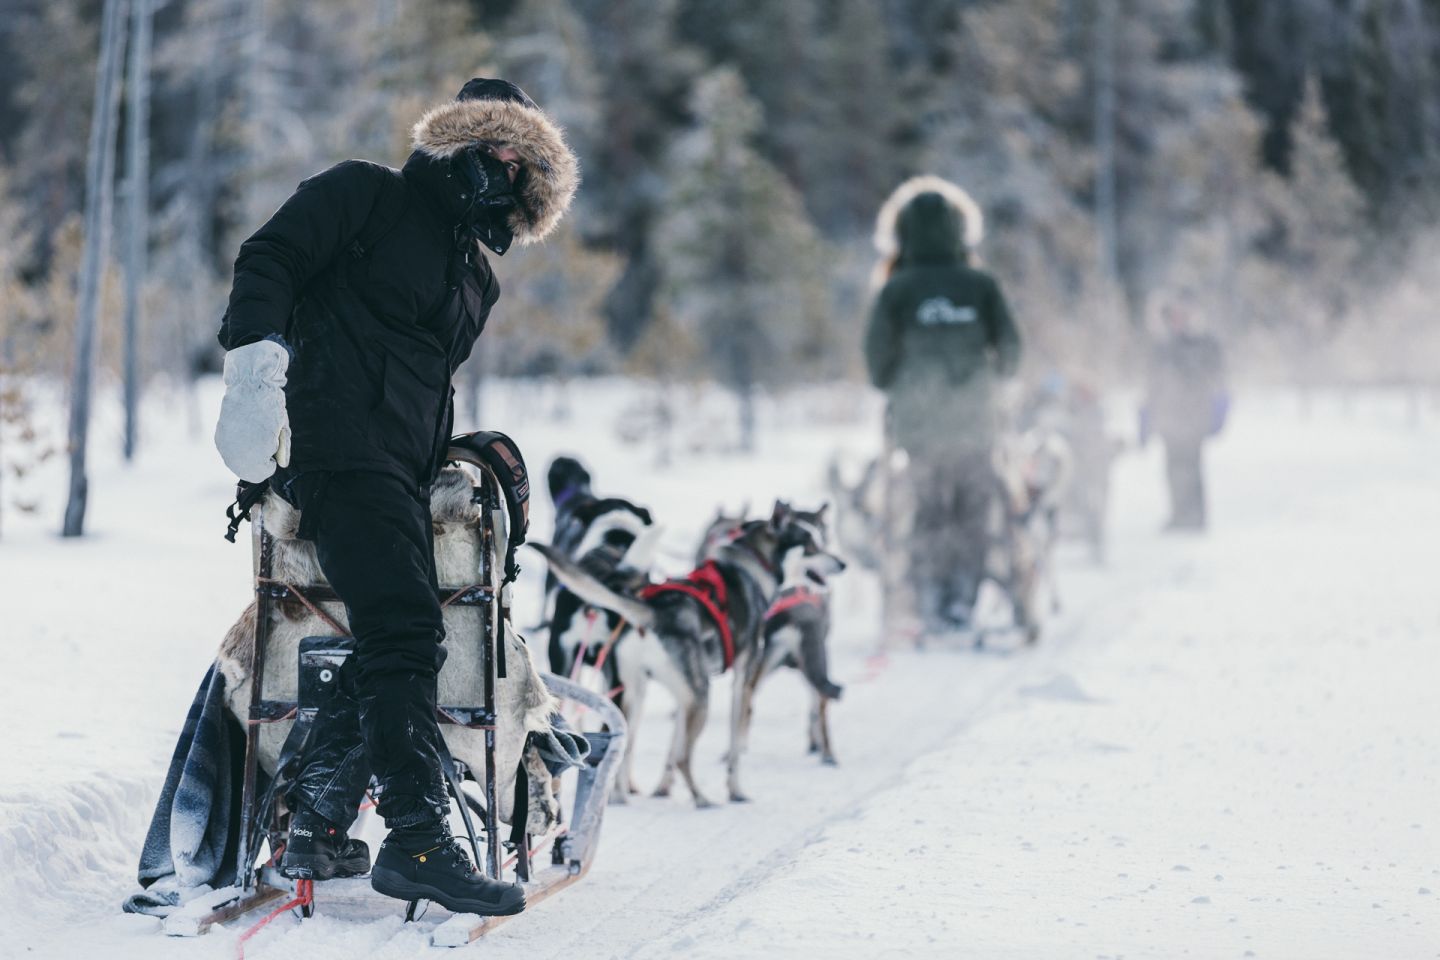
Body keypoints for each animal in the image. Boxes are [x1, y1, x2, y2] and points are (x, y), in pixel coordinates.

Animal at [538, 506, 835, 805]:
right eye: (812, 545)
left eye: (822, 540)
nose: (841, 563)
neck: (752, 563)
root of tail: (652, 612)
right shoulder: (742, 683)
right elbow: (732, 747)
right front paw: (736, 791)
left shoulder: (683, 697)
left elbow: (672, 746)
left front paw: (662, 788)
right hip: (700, 695)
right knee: (683, 757)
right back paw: (702, 799)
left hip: (636, 693)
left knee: (624, 745)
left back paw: (618, 796)